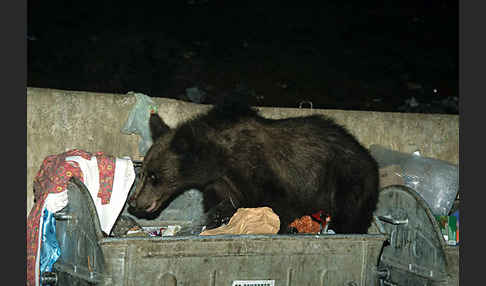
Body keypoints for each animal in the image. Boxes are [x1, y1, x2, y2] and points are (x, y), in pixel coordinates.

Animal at [128, 101, 380, 233]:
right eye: (143, 173)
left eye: (154, 176)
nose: (133, 202)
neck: (219, 161)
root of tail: (369, 159)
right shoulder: (222, 185)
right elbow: (220, 207)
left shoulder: (266, 176)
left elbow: (279, 208)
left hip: (347, 182)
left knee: (350, 216)